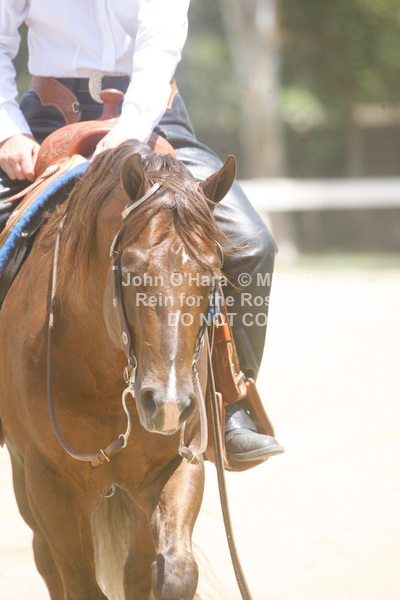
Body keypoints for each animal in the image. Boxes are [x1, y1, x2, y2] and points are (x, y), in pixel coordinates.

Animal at [0, 140, 236, 600]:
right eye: (130, 271)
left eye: (212, 275)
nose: (167, 403)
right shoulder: (51, 487)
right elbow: (79, 584)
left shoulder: (179, 464)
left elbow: (174, 574)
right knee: (48, 564)